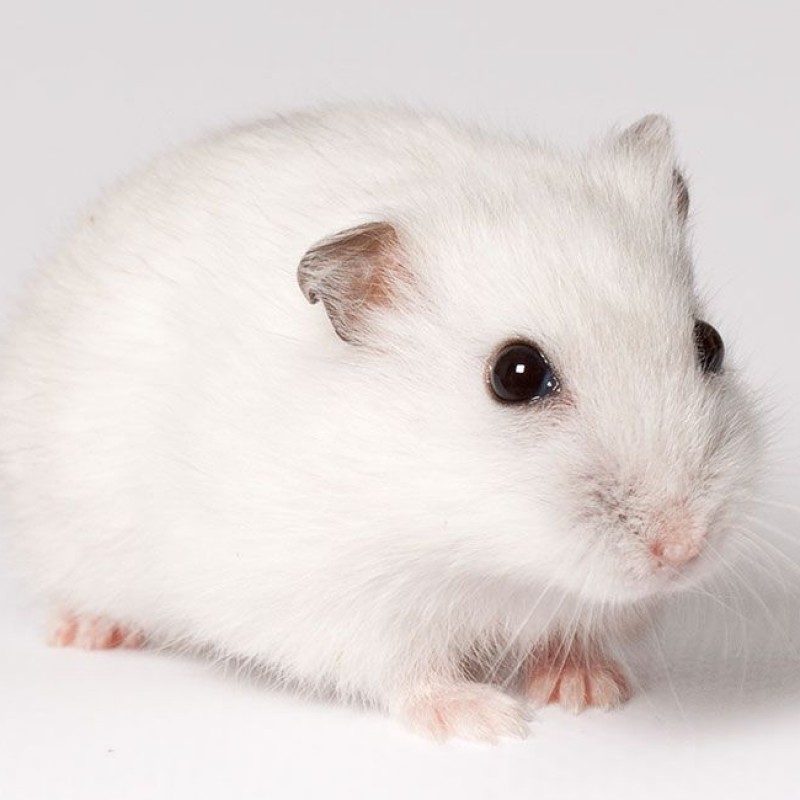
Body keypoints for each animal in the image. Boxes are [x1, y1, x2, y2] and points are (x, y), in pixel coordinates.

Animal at [0, 106, 761, 742]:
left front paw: (590, 691)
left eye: (710, 343)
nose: (682, 550)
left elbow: (570, 636)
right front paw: (485, 723)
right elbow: (404, 669)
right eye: (514, 375)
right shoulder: (337, 601)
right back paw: (87, 632)